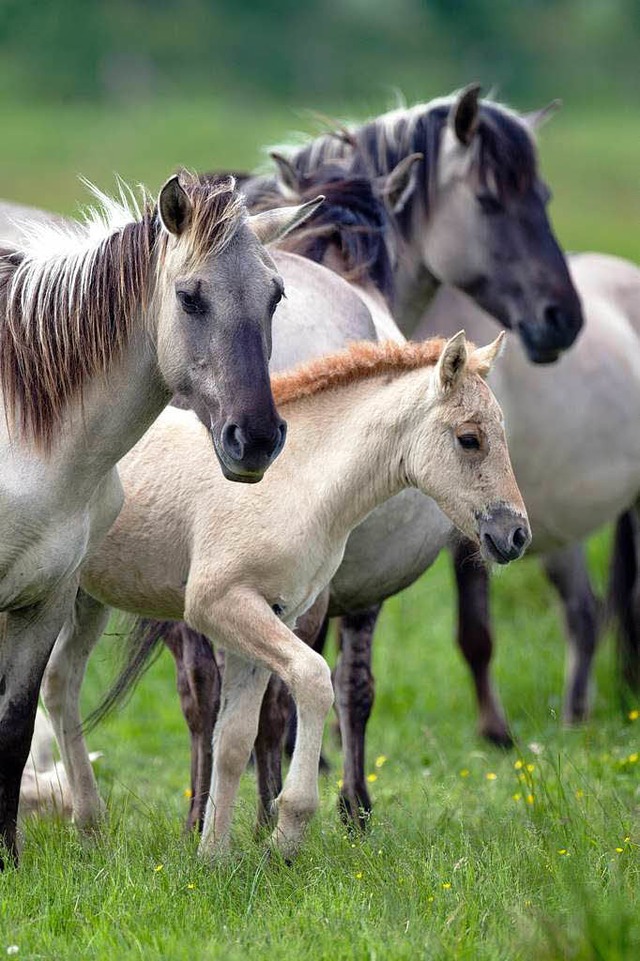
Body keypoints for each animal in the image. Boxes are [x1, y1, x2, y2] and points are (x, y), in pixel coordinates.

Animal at [47, 334, 528, 860]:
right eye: (469, 438)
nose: (516, 535)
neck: (297, 481)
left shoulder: (270, 613)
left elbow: (235, 738)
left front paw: (214, 856)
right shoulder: (219, 605)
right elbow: (314, 680)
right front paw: (285, 836)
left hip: (84, 600)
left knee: (60, 685)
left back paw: (90, 827)